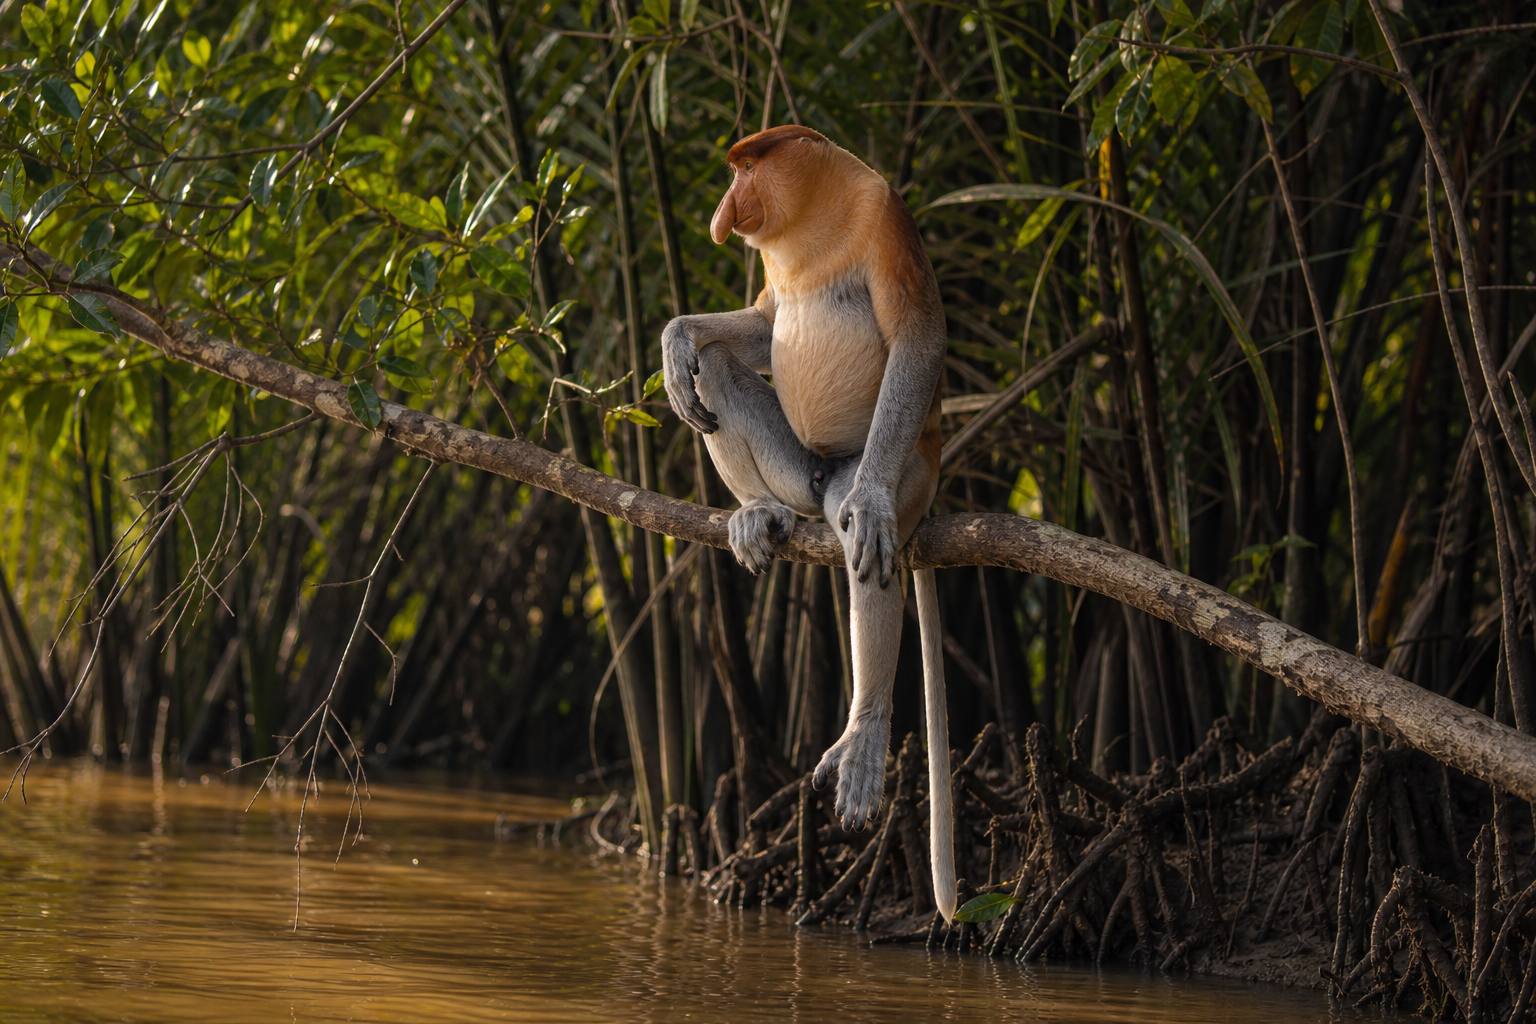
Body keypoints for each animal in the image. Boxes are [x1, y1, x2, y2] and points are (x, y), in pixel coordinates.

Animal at [661, 125, 956, 921]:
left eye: (744, 167)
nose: (723, 211)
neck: (813, 224)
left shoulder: (883, 215)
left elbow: (917, 337)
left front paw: (873, 506)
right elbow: (763, 326)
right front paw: (675, 339)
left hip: (902, 467)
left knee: (863, 541)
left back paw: (864, 734)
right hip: (799, 469)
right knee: (717, 372)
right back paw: (757, 512)